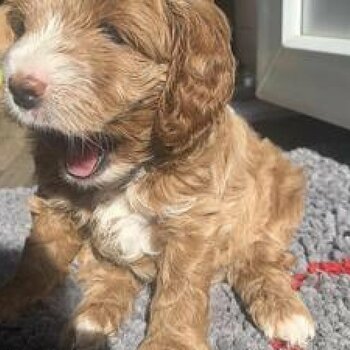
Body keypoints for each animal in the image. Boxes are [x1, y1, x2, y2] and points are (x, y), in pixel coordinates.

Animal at [0, 0, 316, 350]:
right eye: (21, 27)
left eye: (113, 33)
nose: (19, 89)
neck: (129, 174)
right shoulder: (54, 204)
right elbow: (37, 259)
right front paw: (10, 299)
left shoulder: (192, 222)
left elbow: (180, 287)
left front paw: (170, 342)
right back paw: (91, 320)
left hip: (278, 193)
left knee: (258, 256)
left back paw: (283, 310)